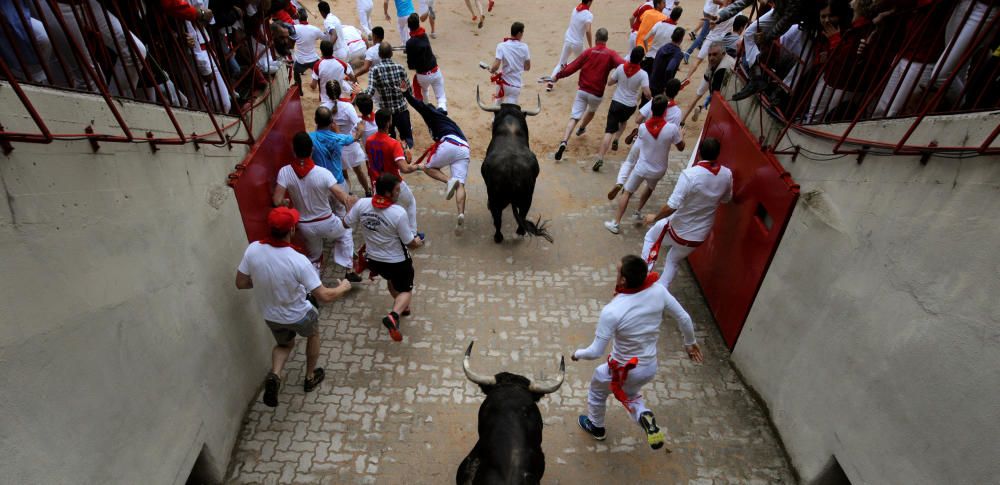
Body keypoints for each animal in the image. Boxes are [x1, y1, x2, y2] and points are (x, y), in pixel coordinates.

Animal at [476, 88, 556, 242]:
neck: (510, 128)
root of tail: (512, 172)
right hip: (527, 198)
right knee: (522, 216)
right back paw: (520, 233)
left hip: (496, 200)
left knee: (497, 220)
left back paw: (498, 238)